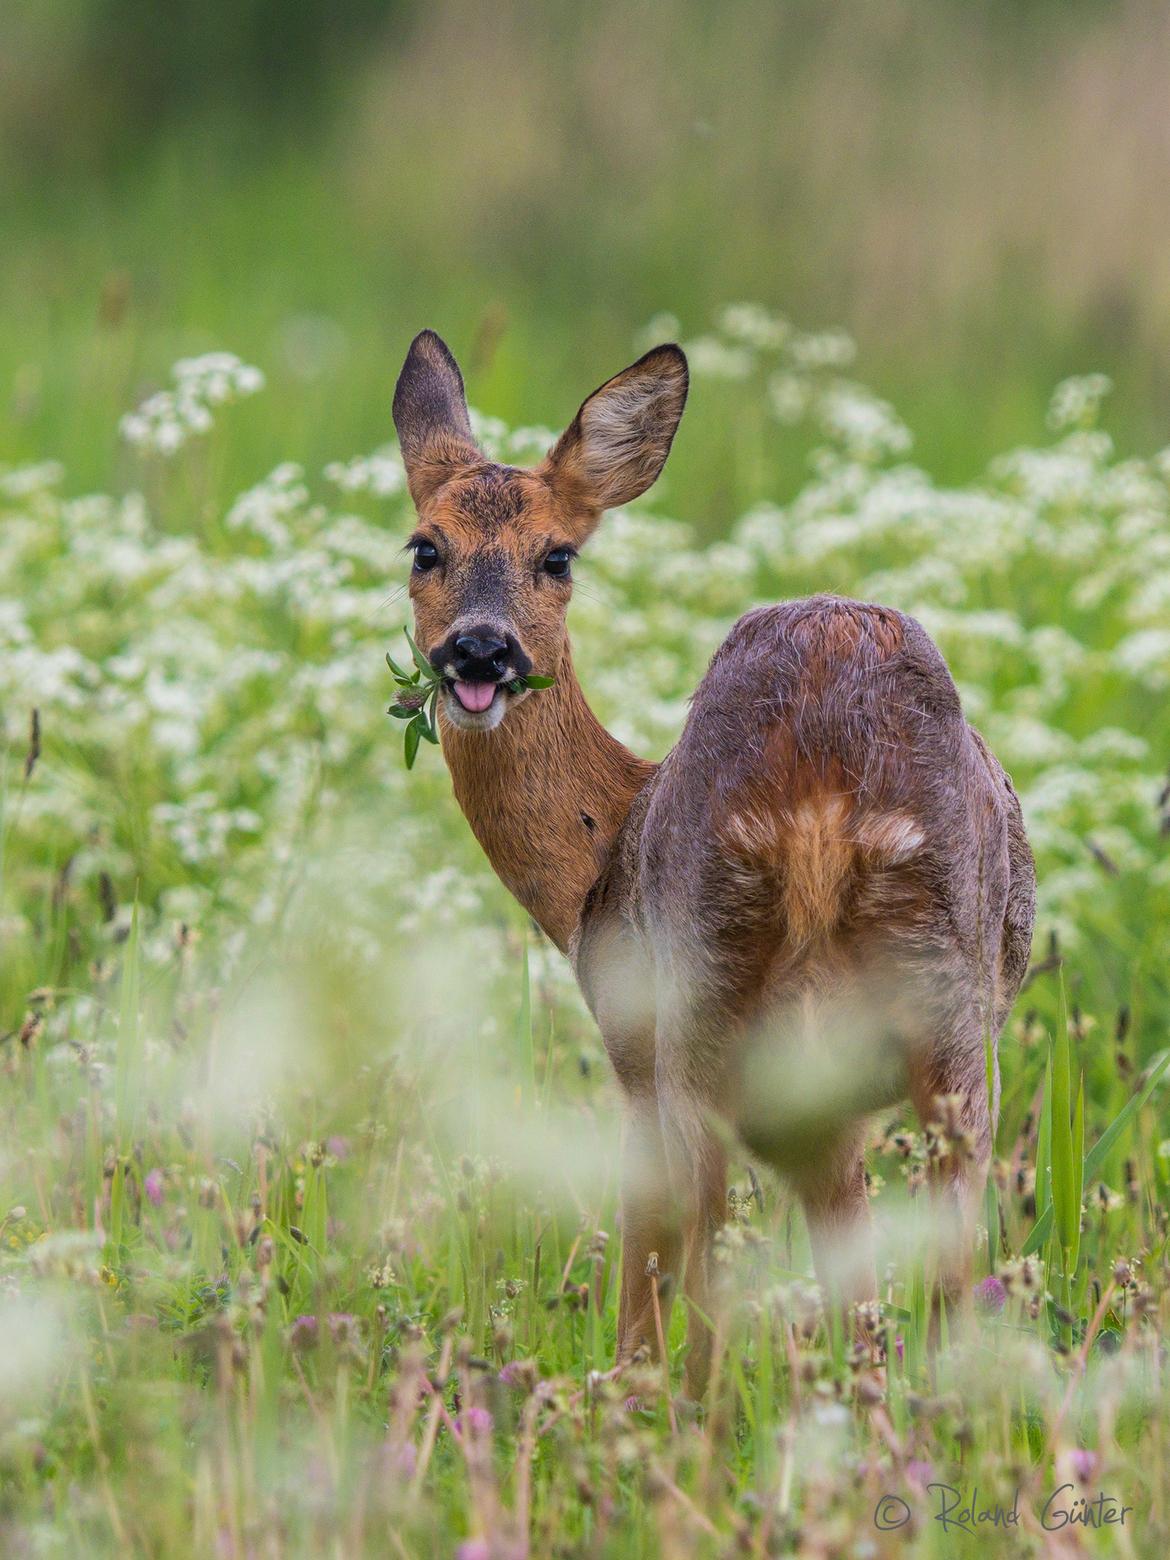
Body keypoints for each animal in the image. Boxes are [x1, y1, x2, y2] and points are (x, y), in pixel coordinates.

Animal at [391, 329, 1036, 1397]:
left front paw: (615, 1395)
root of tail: (820, 783)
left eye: (557, 555)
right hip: (943, 1014)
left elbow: (641, 1264)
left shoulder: (630, 1046)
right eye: (424, 546)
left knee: (710, 1286)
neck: (597, 852)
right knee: (932, 1273)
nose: (479, 651)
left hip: (702, 1000)